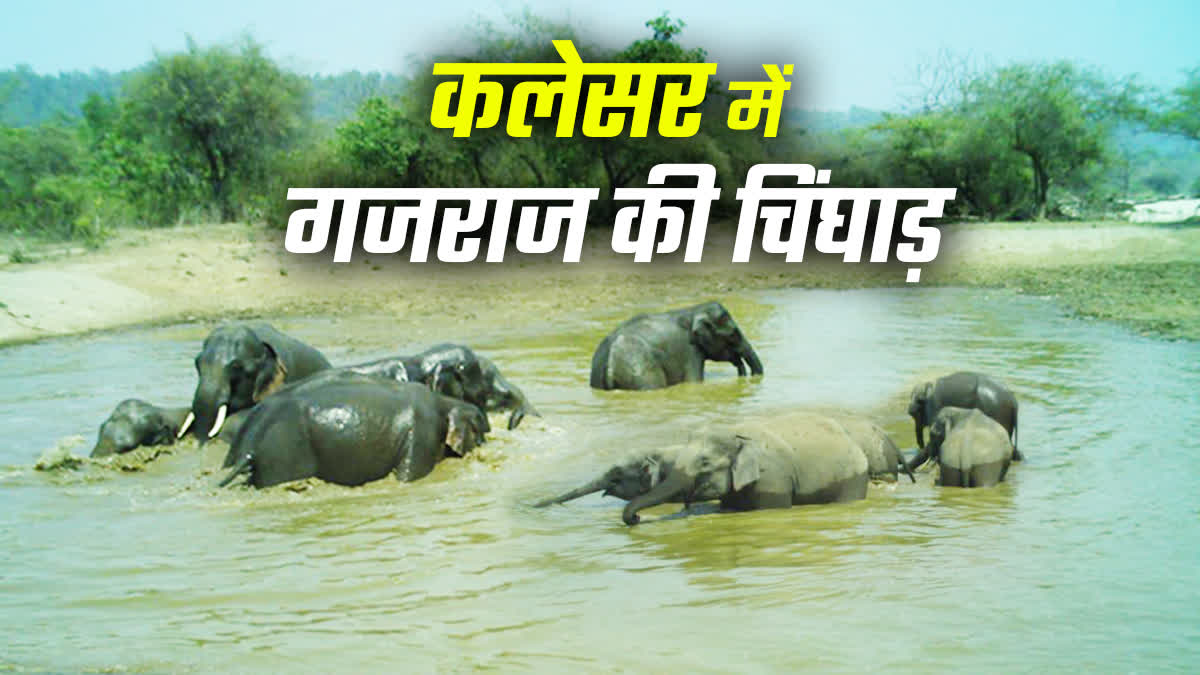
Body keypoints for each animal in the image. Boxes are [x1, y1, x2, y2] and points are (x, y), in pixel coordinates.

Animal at [218, 372, 490, 488]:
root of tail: (250, 448)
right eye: (481, 434)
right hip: (284, 456)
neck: (446, 402)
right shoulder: (423, 435)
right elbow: (407, 477)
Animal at [590, 301, 764, 391]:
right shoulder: (690, 350)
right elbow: (693, 381)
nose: (742, 373)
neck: (694, 310)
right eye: (734, 334)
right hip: (640, 370)